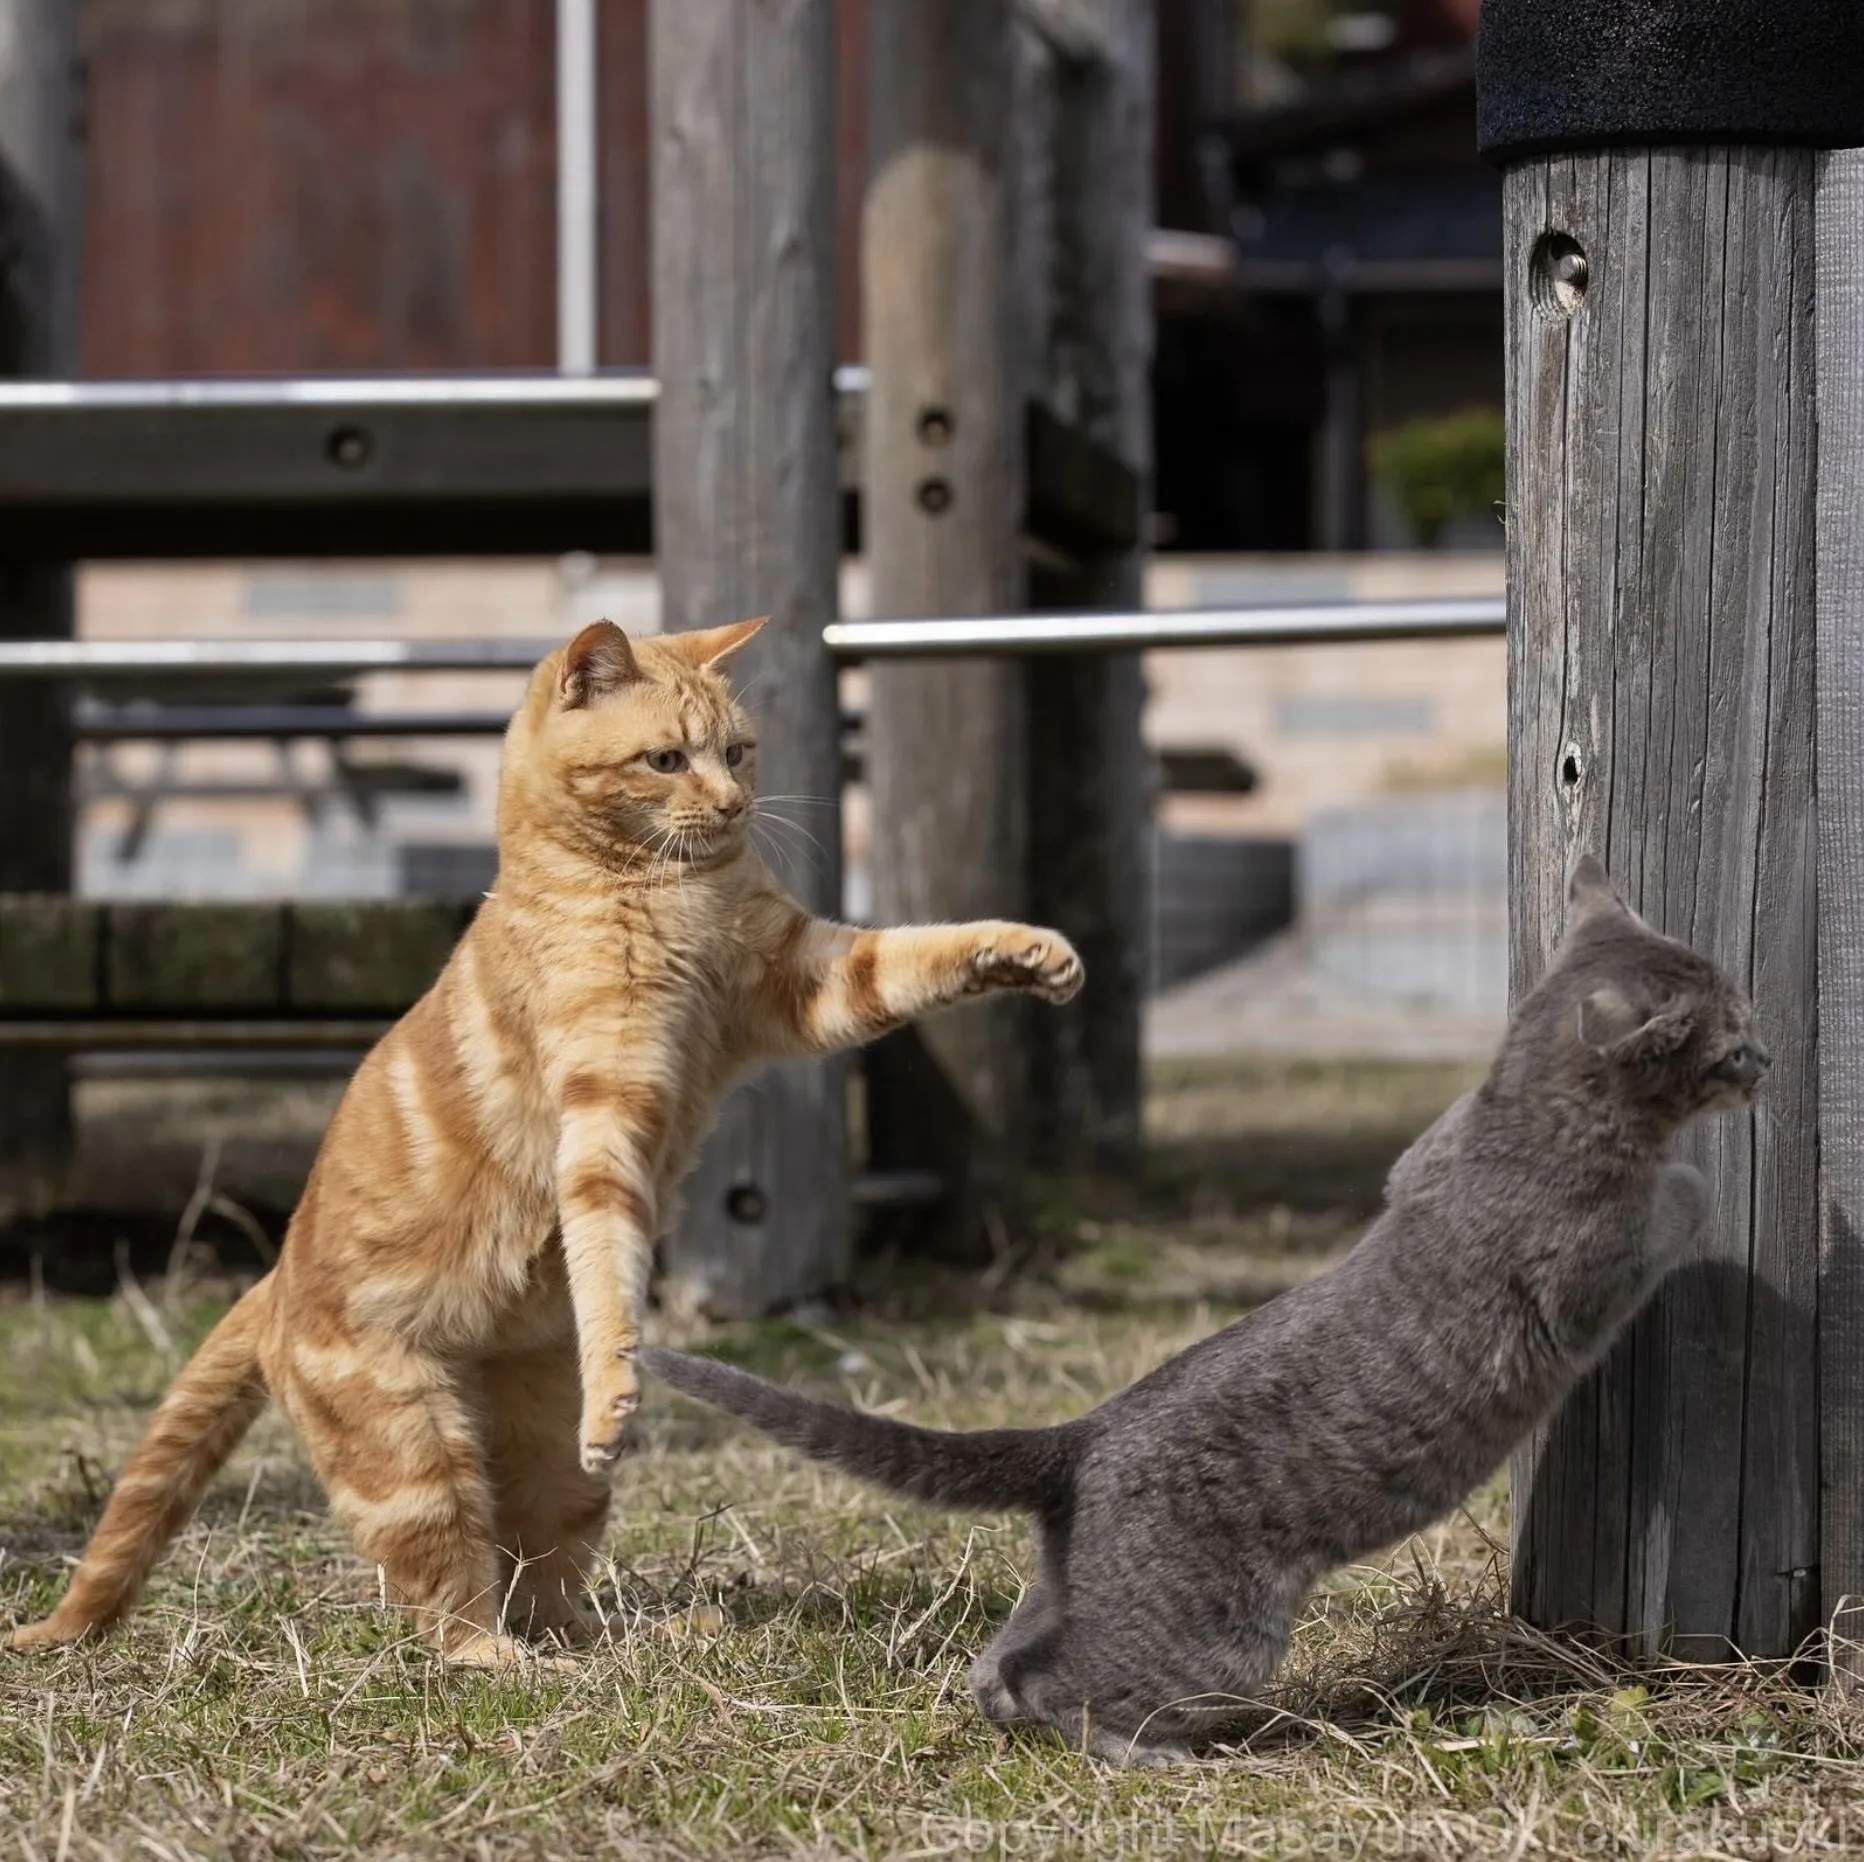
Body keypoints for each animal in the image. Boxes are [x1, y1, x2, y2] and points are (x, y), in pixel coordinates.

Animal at [14, 618, 1088, 1670]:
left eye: (738, 751)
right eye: (666, 759)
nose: (735, 802)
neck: (659, 886)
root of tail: (271, 1282)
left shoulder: (808, 979)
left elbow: (914, 955)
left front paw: (1030, 951)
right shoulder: (606, 1108)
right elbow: (610, 1263)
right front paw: (620, 1385)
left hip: (546, 1464)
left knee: (545, 1581)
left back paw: (626, 1641)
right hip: (417, 1450)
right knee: (450, 1598)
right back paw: (504, 1661)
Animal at [641, 857, 1759, 1759]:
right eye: (1726, 1041)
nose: (1765, 1058)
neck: (1516, 1114)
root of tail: (1083, 1434)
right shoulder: (1579, 1278)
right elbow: (1662, 1213)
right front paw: (1698, 1181)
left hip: (1079, 1578)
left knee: (1007, 1654)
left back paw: (1013, 1710)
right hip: (1214, 1629)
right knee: (1065, 1681)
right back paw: (1147, 1751)